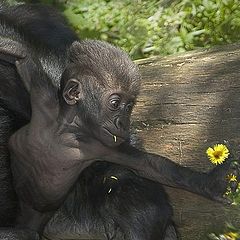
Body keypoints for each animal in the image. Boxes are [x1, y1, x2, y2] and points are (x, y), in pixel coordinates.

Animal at [0, 2, 238, 240]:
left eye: (129, 106)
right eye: (115, 104)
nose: (123, 122)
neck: (66, 128)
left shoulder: (100, 145)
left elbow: (142, 169)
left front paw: (209, 184)